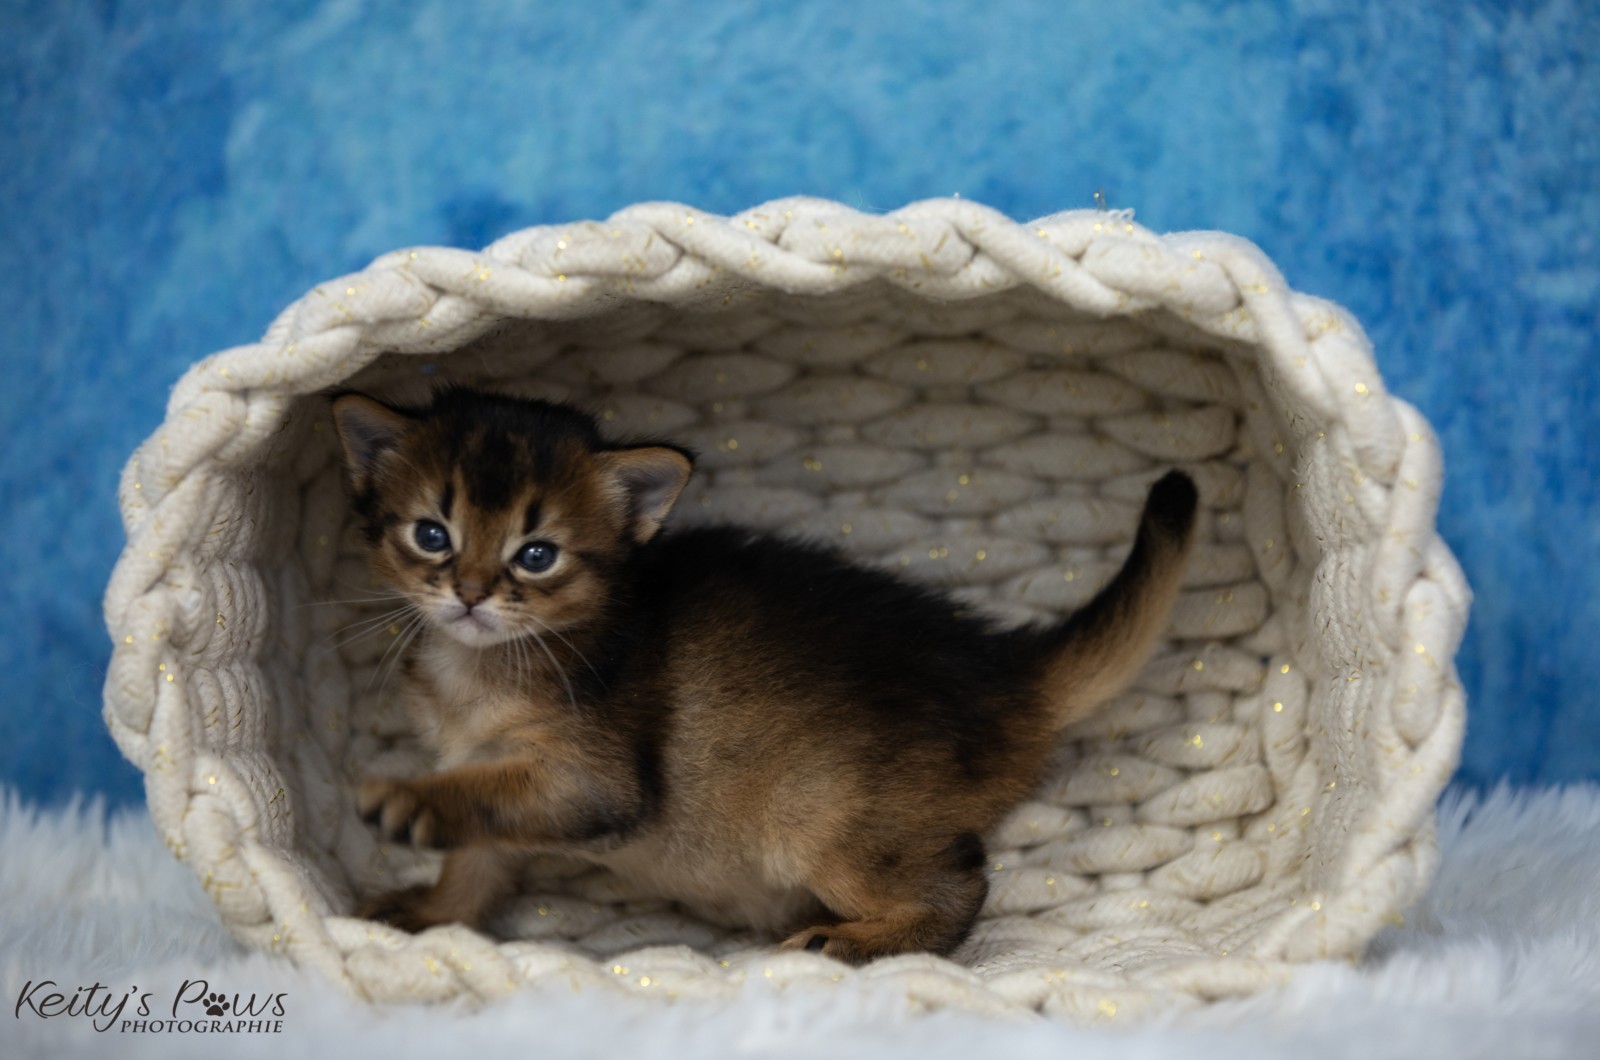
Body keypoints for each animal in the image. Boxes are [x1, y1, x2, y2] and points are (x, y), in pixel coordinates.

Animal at [332, 386, 1198, 963]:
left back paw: (849, 944)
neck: (480, 668)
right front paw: (430, 914)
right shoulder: (499, 783)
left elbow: (480, 799)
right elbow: (476, 858)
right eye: (432, 535)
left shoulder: (592, 781)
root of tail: (1000, 670)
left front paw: (409, 803)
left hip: (827, 825)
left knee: (963, 887)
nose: (471, 594)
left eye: (536, 554)